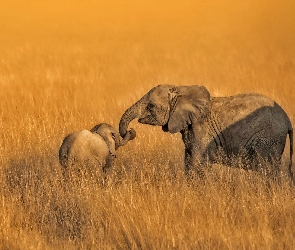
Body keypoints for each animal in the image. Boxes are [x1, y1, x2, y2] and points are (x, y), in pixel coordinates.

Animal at [118, 85, 294, 181]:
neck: (181, 89)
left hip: (269, 139)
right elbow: (188, 161)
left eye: (152, 106)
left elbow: (197, 162)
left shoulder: (202, 130)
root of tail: (287, 120)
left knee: (267, 169)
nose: (131, 131)